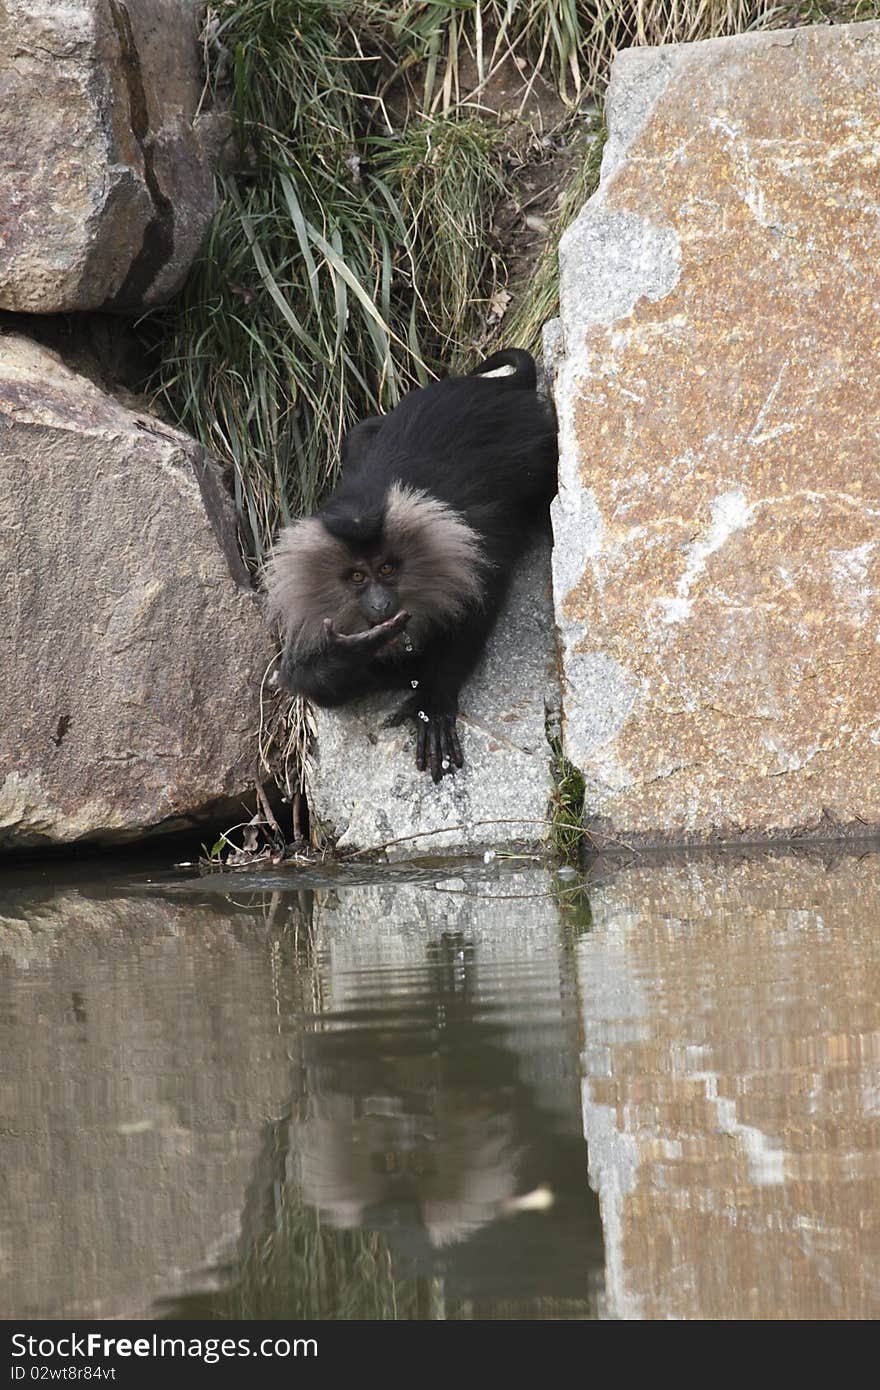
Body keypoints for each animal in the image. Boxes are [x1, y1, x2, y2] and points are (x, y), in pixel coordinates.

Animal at [262, 347, 556, 783]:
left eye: (387, 569)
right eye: (357, 576)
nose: (381, 604)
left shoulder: (471, 548)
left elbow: (478, 611)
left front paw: (433, 699)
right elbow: (309, 683)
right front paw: (358, 650)